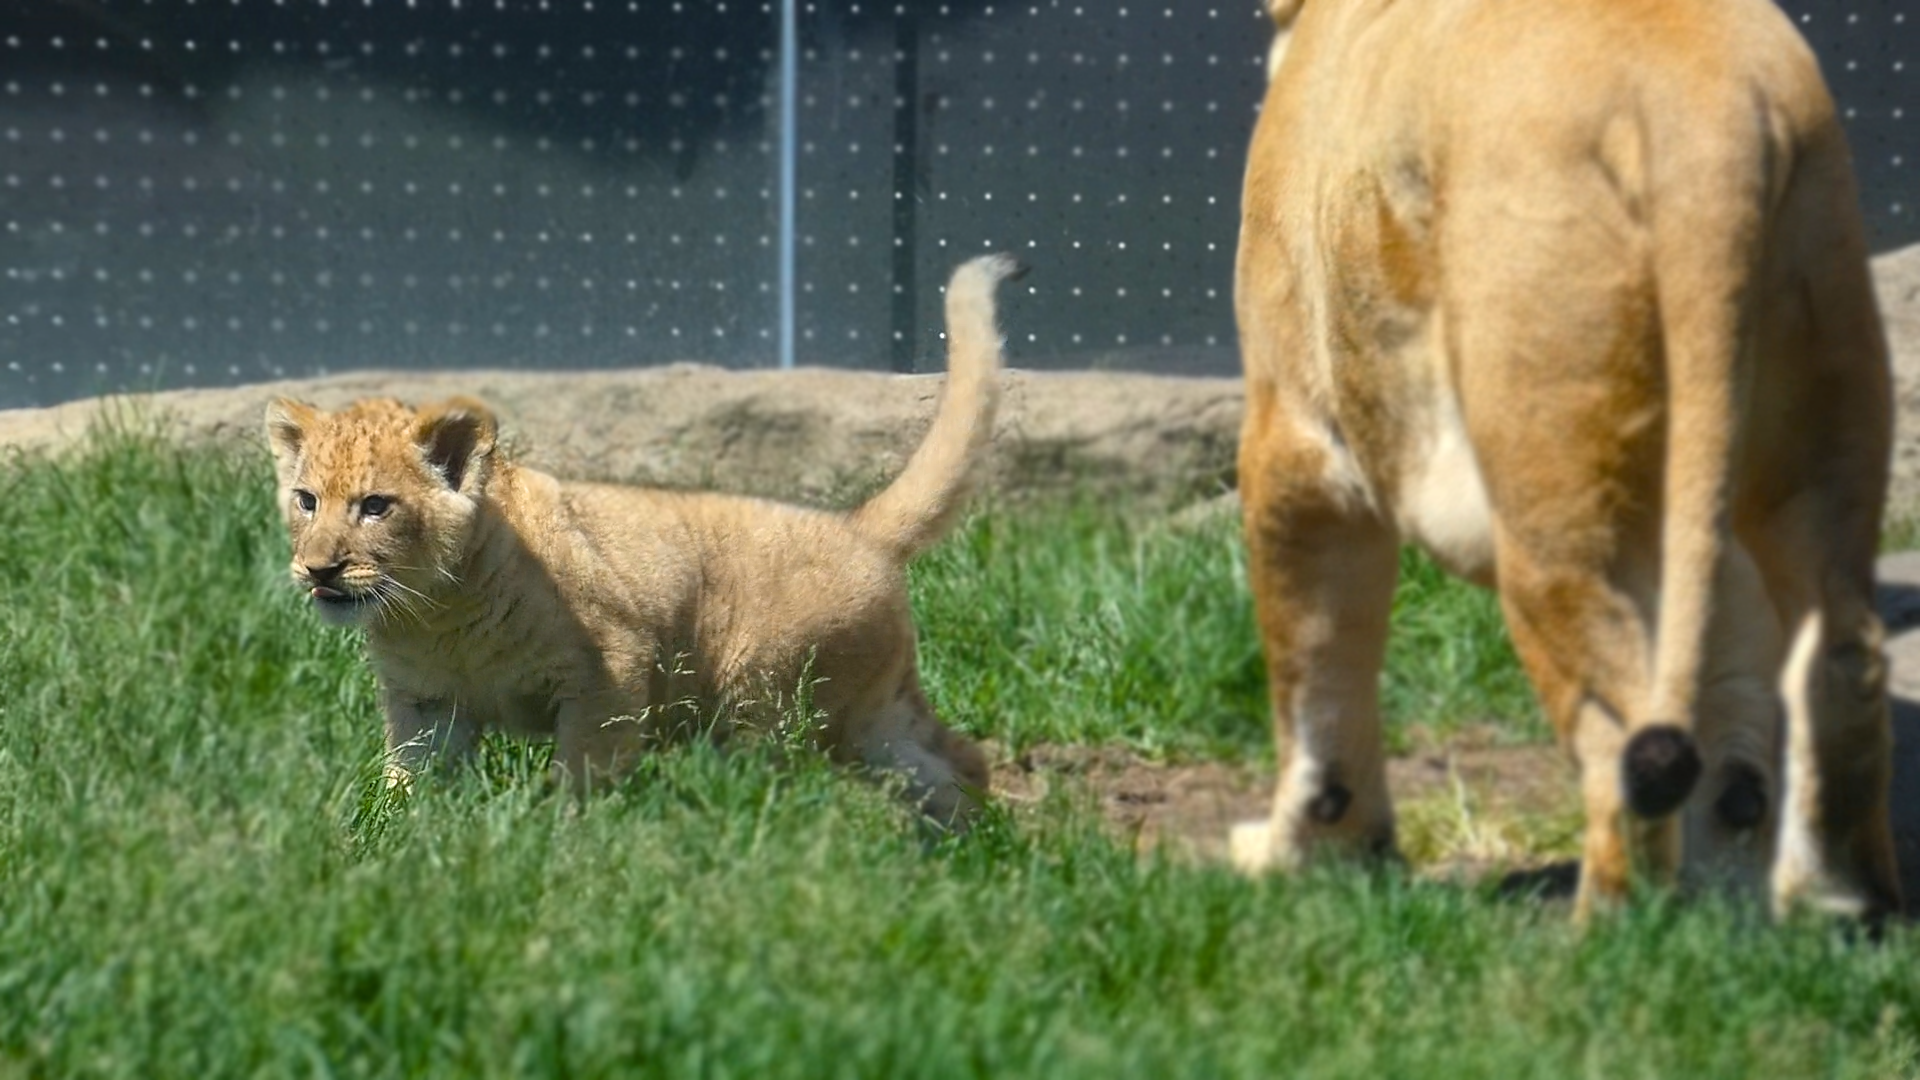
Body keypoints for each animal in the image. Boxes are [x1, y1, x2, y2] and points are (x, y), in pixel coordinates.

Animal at [264, 254, 1024, 824]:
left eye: (375, 507)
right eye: (306, 501)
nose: (318, 570)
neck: (434, 617)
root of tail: (856, 526)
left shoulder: (610, 671)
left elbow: (582, 774)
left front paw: (563, 838)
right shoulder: (424, 705)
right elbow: (410, 784)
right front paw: (385, 842)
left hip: (768, 698)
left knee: (781, 783)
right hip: (872, 711)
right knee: (954, 762)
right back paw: (965, 848)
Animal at [1230, 0, 1900, 920]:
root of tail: (1709, 110)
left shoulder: (1297, 432)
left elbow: (1314, 675)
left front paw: (1301, 858)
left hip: (1552, 493)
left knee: (1624, 735)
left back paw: (1603, 933)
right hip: (1812, 409)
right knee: (1834, 673)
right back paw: (1832, 915)